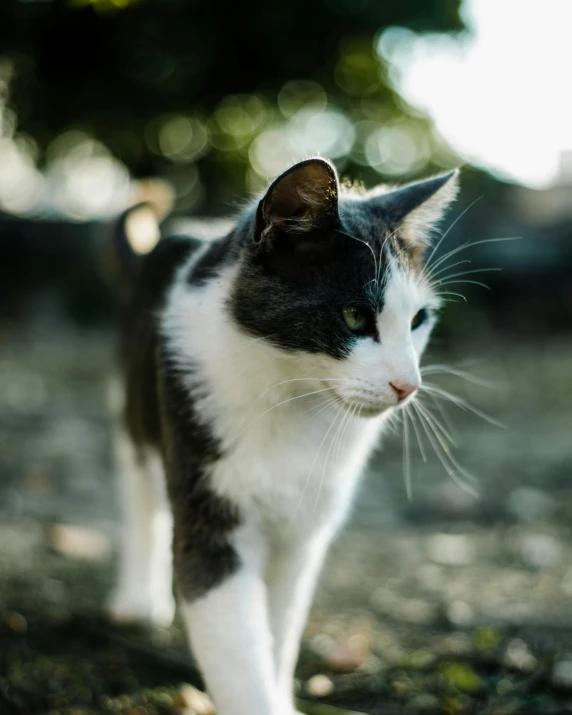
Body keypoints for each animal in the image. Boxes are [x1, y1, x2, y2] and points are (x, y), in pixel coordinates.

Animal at [108, 159, 460, 712]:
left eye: (419, 319)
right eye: (355, 315)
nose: (409, 385)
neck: (292, 400)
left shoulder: (303, 532)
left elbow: (279, 626)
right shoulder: (210, 509)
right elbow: (234, 639)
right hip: (137, 398)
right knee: (138, 483)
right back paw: (138, 599)